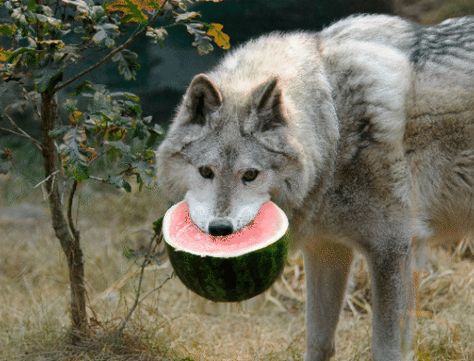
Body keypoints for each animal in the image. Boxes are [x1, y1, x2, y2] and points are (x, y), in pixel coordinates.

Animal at [156, 14, 474, 360]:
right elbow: (319, 340)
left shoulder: (392, 249)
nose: (220, 230)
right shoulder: (327, 248)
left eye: (250, 175)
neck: (333, 126)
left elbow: (387, 349)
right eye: (206, 171)